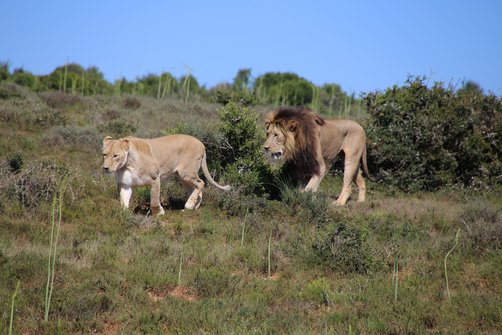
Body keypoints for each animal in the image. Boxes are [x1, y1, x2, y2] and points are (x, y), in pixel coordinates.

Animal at [102, 135, 231, 215]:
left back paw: (189, 205)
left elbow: (154, 200)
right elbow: (123, 200)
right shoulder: (125, 184)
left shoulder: (155, 178)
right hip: (182, 177)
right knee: (195, 189)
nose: (105, 168)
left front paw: (159, 213)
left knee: (201, 183)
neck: (127, 165)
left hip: (186, 173)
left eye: (115, 156)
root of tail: (202, 144)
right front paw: (123, 215)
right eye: (104, 154)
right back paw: (193, 207)